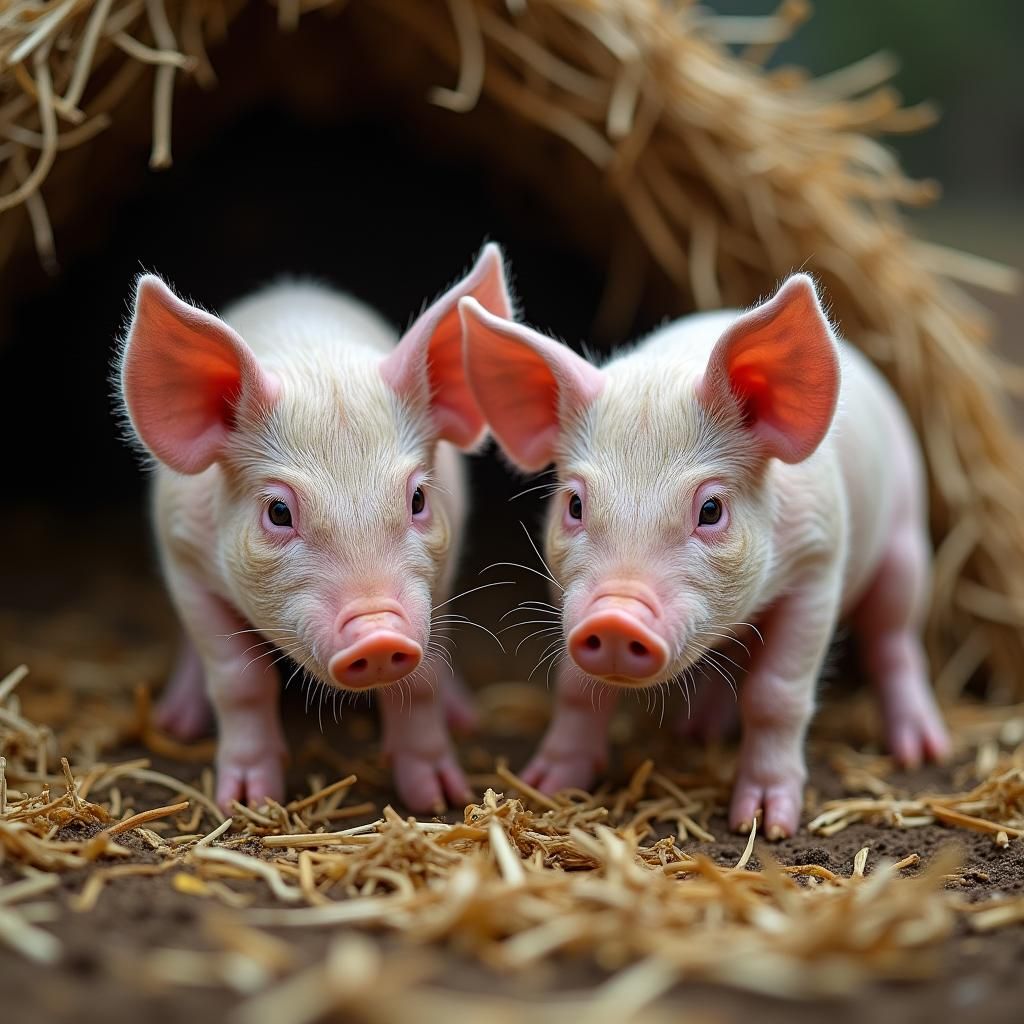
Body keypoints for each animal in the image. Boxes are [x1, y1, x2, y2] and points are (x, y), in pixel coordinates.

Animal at [116, 244, 511, 812]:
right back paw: (177, 720)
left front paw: (438, 799)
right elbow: (239, 680)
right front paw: (248, 802)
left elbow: (421, 683)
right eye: (279, 512)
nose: (378, 635)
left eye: (417, 498)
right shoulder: (183, 558)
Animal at [460, 273, 950, 838]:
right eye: (575, 504)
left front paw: (764, 822)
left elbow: (776, 694)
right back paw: (698, 731)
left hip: (906, 542)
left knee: (894, 639)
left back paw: (922, 750)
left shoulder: (819, 564)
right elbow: (577, 690)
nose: (614, 618)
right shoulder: (569, 597)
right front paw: (544, 785)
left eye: (711, 509)